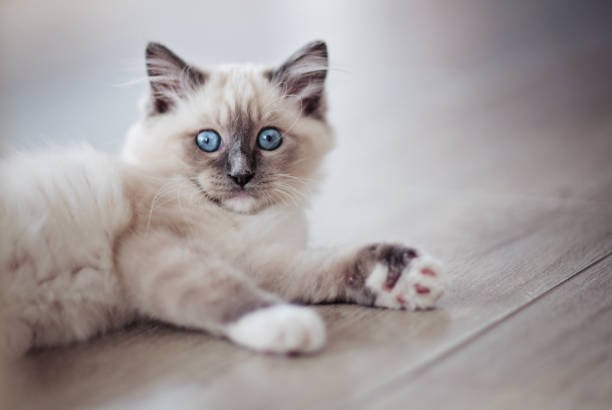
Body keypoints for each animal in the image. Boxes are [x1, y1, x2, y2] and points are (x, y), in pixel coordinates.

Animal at [0, 40, 444, 358]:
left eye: (269, 139)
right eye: (208, 141)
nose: (241, 176)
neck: (241, 222)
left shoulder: (253, 258)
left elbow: (321, 266)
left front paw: (401, 278)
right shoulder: (154, 249)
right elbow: (226, 292)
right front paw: (289, 326)